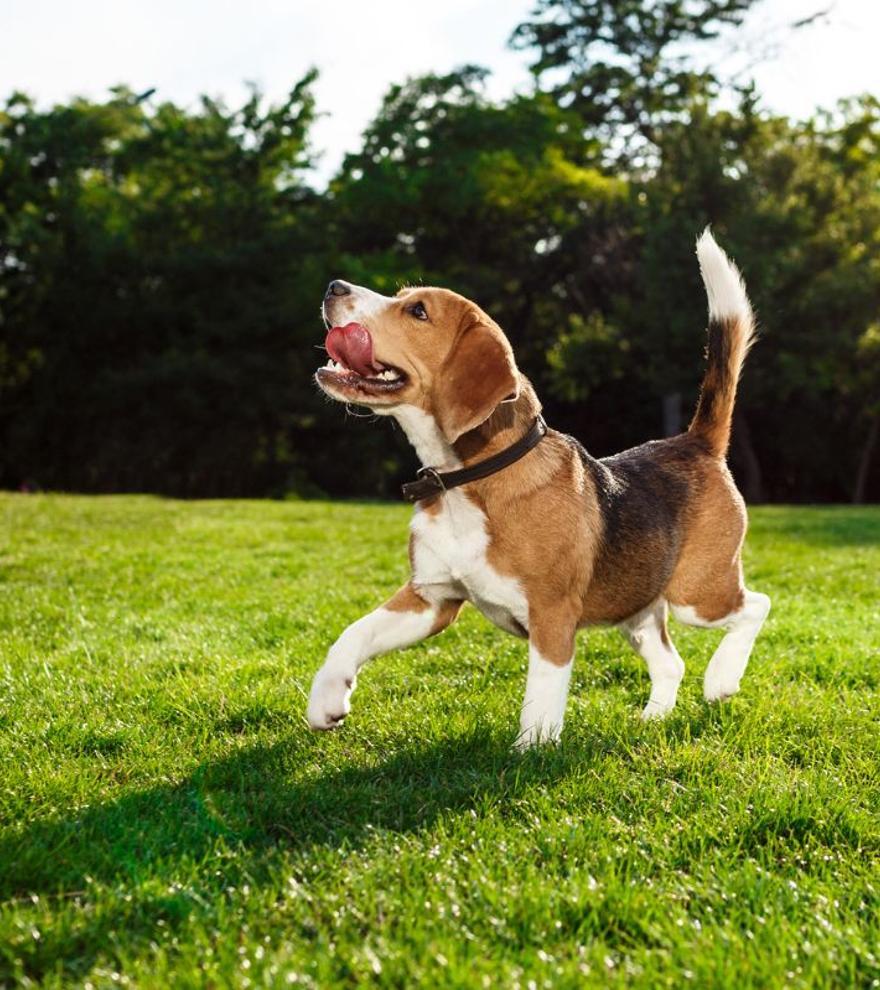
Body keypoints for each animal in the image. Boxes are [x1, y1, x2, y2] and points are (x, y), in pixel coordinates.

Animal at [308, 232, 768, 752]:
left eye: (418, 311)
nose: (333, 286)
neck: (466, 481)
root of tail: (694, 442)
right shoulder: (431, 598)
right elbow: (353, 633)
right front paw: (326, 699)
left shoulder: (551, 615)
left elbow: (541, 696)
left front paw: (531, 752)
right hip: (637, 608)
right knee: (671, 662)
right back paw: (652, 718)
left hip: (698, 594)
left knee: (757, 606)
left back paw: (722, 678)